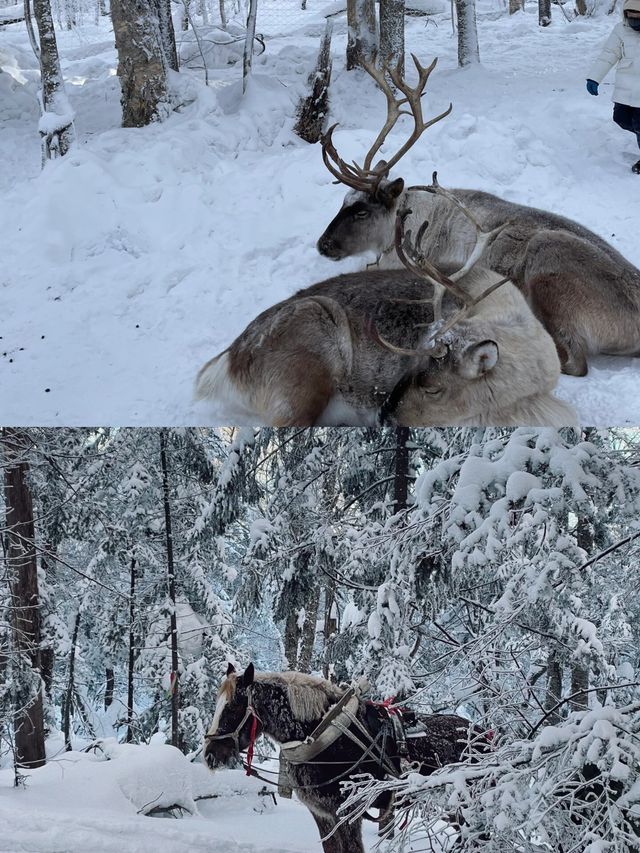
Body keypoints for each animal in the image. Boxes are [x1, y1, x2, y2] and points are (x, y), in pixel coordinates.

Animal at [204, 664, 490, 852]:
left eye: (233, 707)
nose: (209, 755)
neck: (320, 736)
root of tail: (484, 732)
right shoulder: (323, 814)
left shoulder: (348, 813)